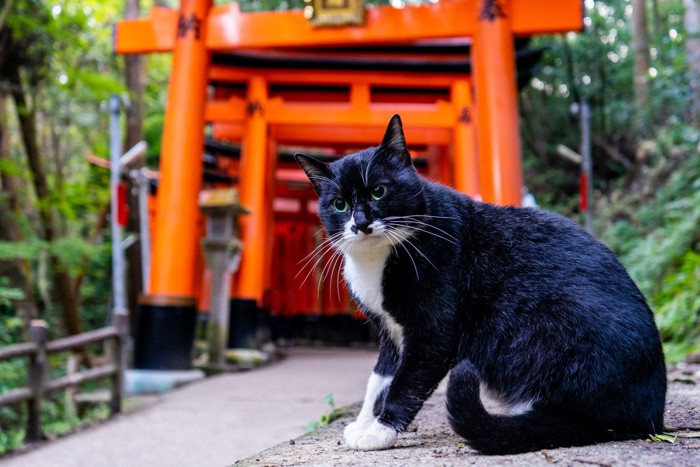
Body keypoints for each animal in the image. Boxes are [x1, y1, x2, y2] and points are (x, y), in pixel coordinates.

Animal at [292, 115, 664, 456]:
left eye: (378, 191)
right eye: (339, 204)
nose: (361, 223)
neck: (378, 259)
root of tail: (651, 412)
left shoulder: (434, 331)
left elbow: (406, 381)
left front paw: (381, 431)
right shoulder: (390, 329)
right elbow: (379, 377)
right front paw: (365, 422)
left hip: (543, 321)